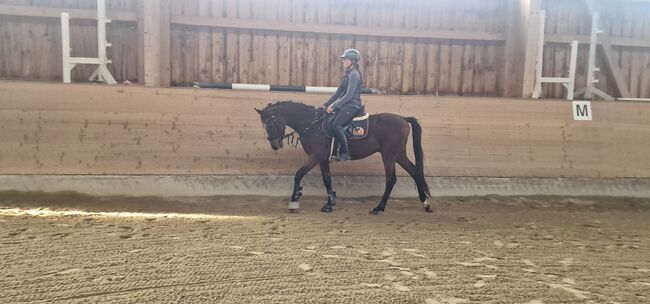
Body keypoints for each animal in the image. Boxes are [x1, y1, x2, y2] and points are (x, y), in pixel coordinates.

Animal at [253, 101, 430, 215]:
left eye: (270, 123)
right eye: (264, 125)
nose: (275, 145)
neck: (312, 124)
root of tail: (403, 119)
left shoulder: (317, 156)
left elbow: (301, 175)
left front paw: (295, 200)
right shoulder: (322, 159)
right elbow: (326, 179)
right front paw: (329, 203)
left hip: (389, 155)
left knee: (391, 179)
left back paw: (379, 208)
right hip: (398, 154)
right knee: (415, 172)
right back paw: (426, 203)